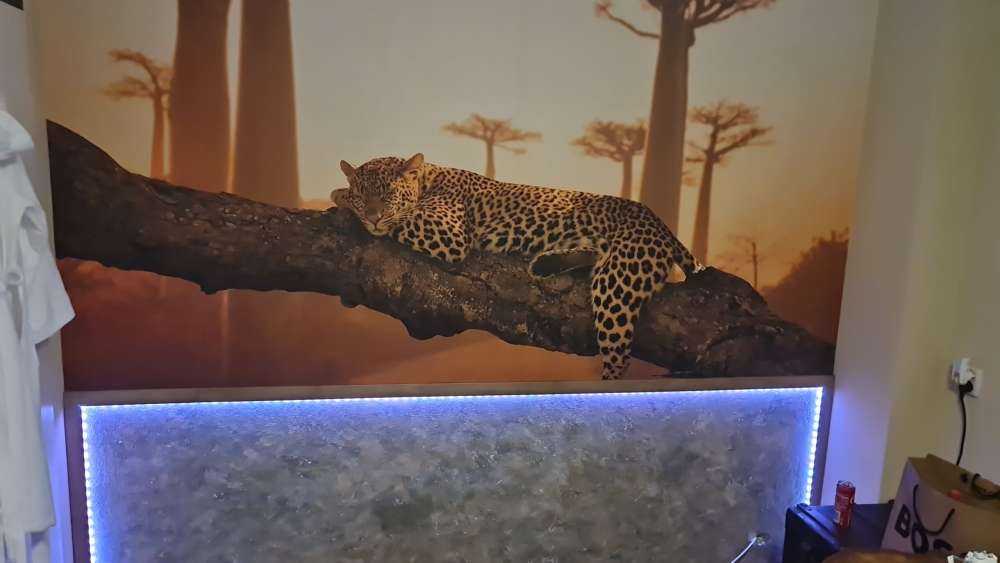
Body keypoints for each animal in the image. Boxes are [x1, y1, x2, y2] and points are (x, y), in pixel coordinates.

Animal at [331, 153, 703, 380]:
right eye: (363, 194)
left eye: (388, 194)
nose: (372, 215)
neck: (427, 177)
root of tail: (662, 226)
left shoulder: (447, 233)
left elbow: (401, 218)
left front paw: (338, 196)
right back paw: (550, 262)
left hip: (618, 283)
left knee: (618, 357)